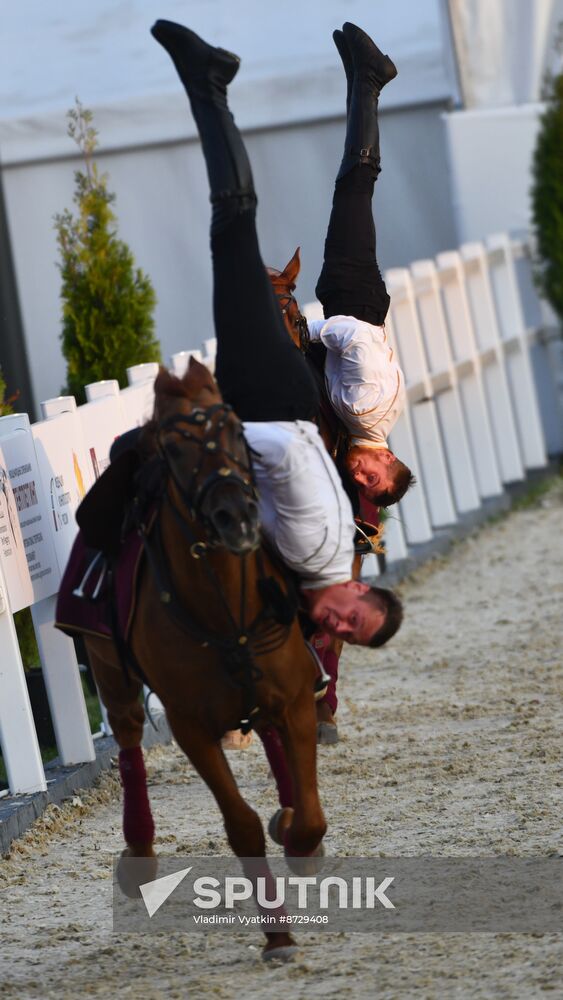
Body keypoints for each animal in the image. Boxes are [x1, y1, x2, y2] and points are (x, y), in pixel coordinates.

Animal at [81, 360, 324, 960]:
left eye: (235, 428)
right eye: (172, 447)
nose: (234, 513)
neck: (224, 614)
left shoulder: (293, 698)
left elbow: (310, 813)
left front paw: (299, 838)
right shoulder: (191, 726)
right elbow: (241, 824)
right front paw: (276, 931)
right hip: (109, 671)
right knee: (127, 736)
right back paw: (140, 852)